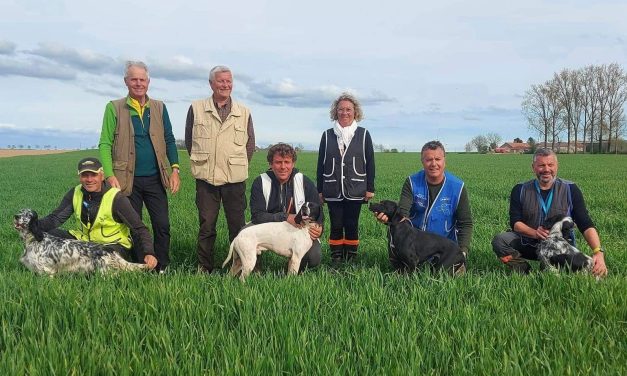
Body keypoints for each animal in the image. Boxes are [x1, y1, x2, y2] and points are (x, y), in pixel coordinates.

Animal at [13, 207, 150, 274]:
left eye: (28, 215)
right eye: (20, 211)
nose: (16, 216)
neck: (34, 239)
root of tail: (110, 251)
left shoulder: (46, 271)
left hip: (105, 271)